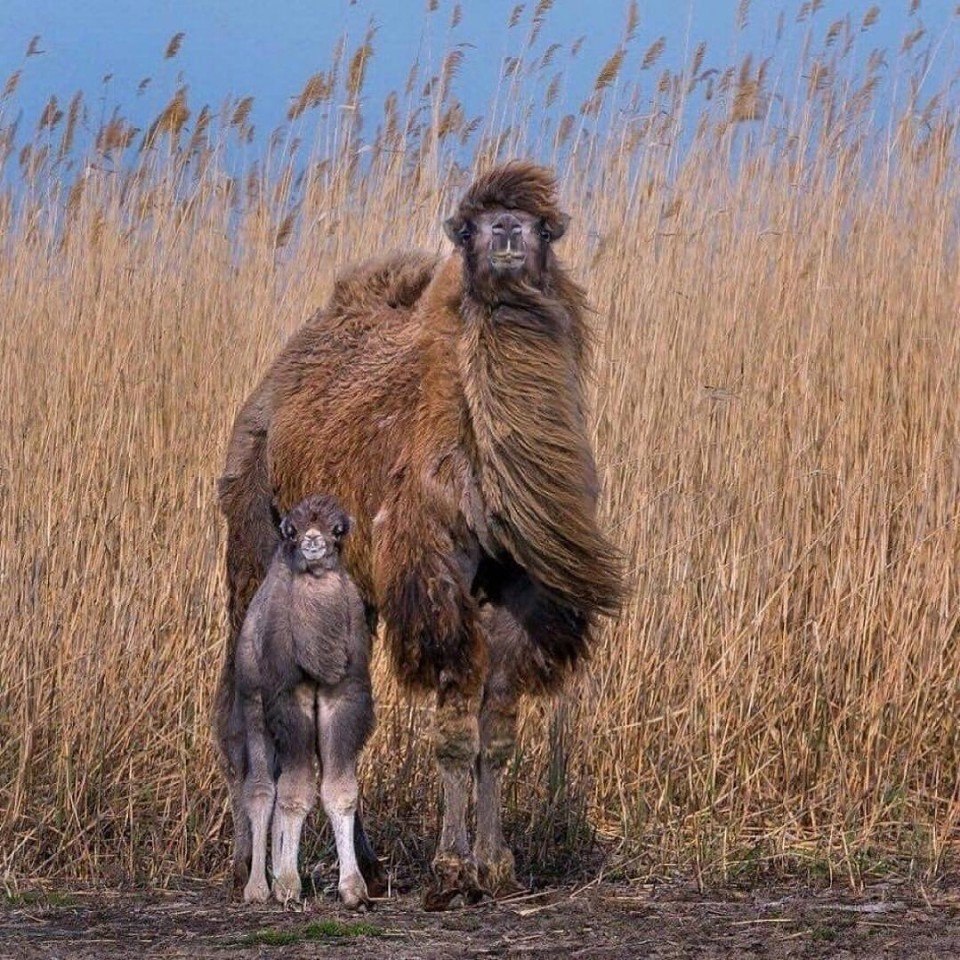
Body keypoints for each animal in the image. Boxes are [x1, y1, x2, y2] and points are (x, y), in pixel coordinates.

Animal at [214, 159, 628, 908]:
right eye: (468, 227)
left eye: (544, 226)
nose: (505, 232)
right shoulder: (438, 580)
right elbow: (455, 734)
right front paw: (452, 871)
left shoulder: (521, 589)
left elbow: (498, 734)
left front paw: (497, 864)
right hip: (251, 541)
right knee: (242, 693)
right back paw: (247, 868)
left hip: (350, 590)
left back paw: (367, 867)